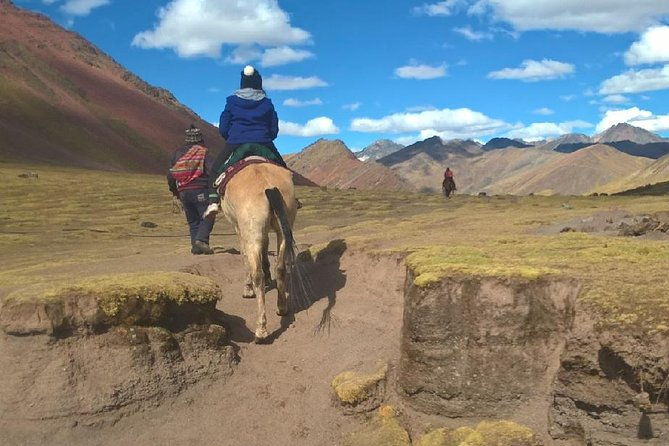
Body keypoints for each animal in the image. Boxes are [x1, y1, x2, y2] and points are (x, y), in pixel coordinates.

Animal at [221, 162, 309, 343]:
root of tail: (269, 186)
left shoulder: (239, 229)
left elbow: (245, 258)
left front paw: (247, 289)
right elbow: (266, 250)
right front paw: (268, 276)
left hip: (252, 233)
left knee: (257, 275)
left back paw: (261, 331)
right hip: (283, 230)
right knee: (280, 268)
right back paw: (282, 307)